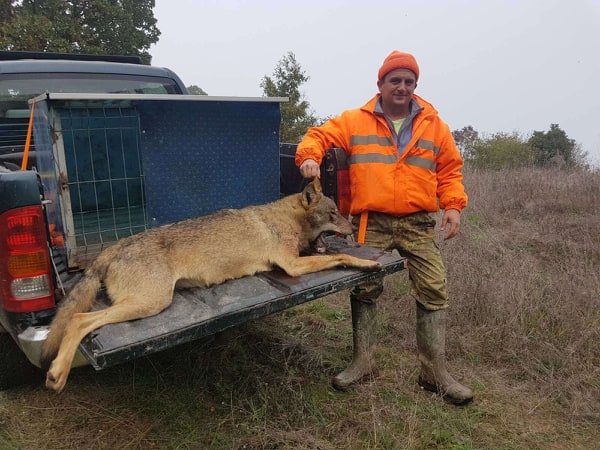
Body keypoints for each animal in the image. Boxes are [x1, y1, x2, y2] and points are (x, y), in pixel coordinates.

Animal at [41, 178, 380, 392]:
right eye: (333, 214)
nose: (353, 228)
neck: (288, 218)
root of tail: (116, 245)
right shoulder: (292, 265)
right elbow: (341, 257)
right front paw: (365, 262)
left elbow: (335, 255)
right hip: (151, 303)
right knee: (79, 319)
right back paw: (57, 373)